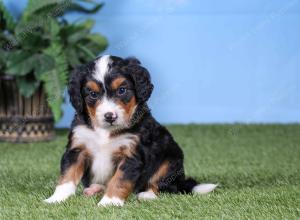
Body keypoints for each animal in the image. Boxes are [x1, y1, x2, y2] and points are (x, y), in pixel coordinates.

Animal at [44, 55, 216, 206]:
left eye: (122, 90)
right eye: (92, 94)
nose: (110, 116)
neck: (105, 131)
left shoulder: (131, 155)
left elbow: (119, 180)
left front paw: (110, 202)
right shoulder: (77, 149)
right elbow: (67, 176)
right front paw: (56, 199)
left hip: (170, 160)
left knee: (161, 184)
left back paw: (147, 195)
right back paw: (94, 189)